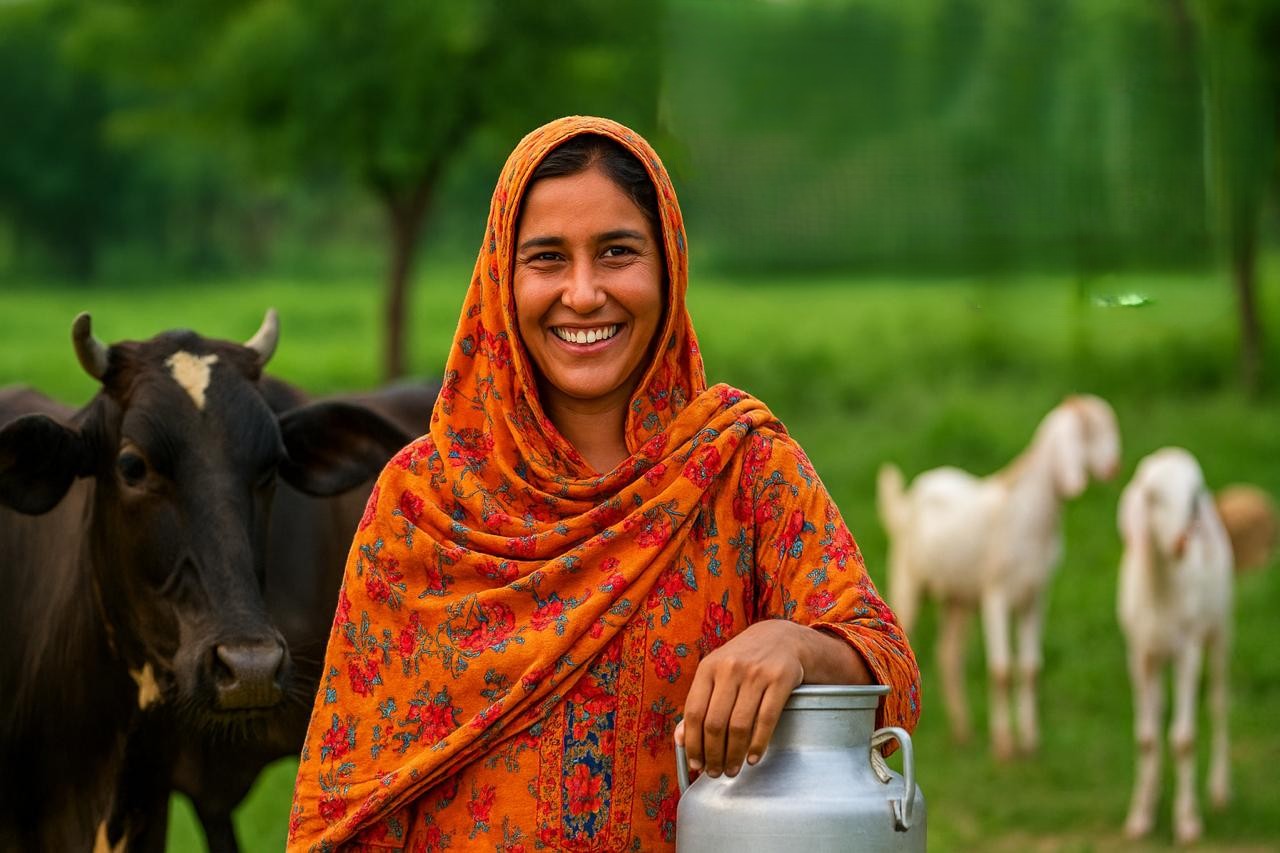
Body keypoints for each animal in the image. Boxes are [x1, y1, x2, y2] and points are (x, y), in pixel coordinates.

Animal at [878, 394, 1120, 759]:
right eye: (1090, 430)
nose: (1113, 467)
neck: (1029, 513)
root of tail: (909, 498)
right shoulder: (997, 594)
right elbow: (1002, 671)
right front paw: (1005, 747)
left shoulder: (1035, 596)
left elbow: (1031, 669)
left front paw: (1030, 743)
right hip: (908, 578)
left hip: (959, 599)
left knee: (949, 654)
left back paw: (963, 731)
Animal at [1117, 447, 1233, 844]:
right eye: (1152, 497)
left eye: (1192, 500)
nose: (1183, 542)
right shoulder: (1138, 654)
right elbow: (1146, 738)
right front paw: (1139, 817)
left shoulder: (1188, 651)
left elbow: (1183, 739)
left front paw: (1188, 822)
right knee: (1158, 710)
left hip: (1220, 629)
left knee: (1218, 701)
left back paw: (1220, 791)